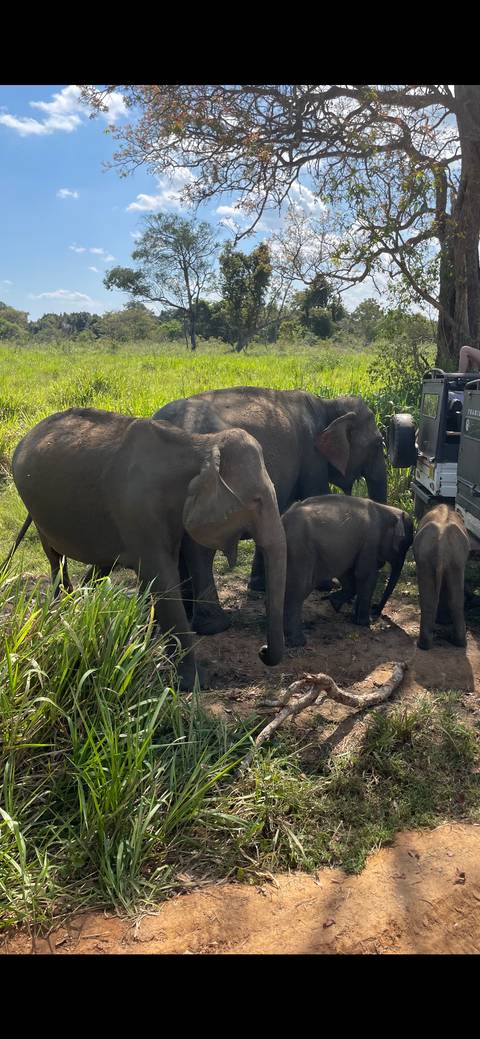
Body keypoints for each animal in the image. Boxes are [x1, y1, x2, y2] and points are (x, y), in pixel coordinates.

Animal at [9, 407, 287, 690]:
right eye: (256, 500)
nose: (262, 651)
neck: (199, 446)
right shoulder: (139, 511)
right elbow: (163, 579)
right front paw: (193, 683)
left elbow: (157, 577)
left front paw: (142, 647)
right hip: (36, 508)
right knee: (55, 557)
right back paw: (63, 607)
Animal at [153, 387, 387, 635]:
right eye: (378, 443)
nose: (375, 610)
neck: (328, 405)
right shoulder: (312, 457)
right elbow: (316, 494)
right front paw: (326, 585)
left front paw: (260, 586)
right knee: (200, 548)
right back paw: (214, 626)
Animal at [281, 495, 414, 646]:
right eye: (402, 546)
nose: (376, 610)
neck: (386, 509)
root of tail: (283, 519)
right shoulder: (370, 541)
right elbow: (366, 575)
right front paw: (364, 623)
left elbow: (349, 574)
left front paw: (336, 604)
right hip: (301, 552)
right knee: (299, 589)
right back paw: (298, 641)